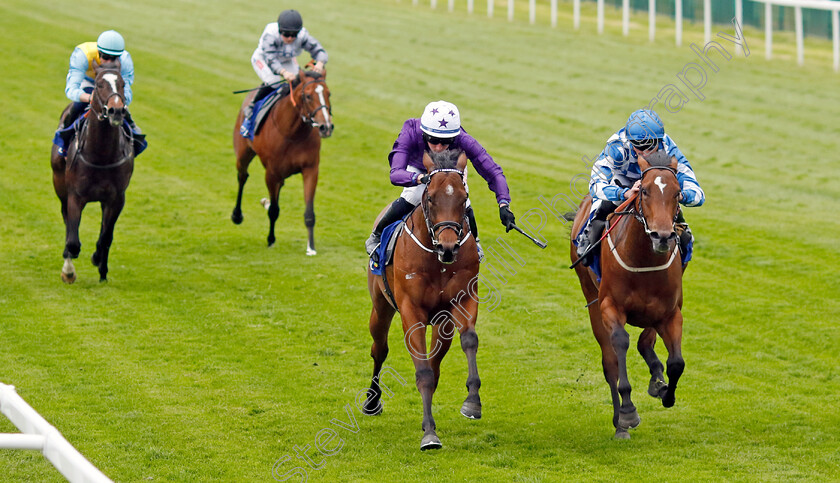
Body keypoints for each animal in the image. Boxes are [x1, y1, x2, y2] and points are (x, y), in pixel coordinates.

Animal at [51, 62, 134, 286]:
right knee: (66, 221)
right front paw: (68, 272)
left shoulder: (116, 199)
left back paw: (103, 271)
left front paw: (98, 261)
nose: (116, 110)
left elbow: (105, 237)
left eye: (122, 84)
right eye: (98, 84)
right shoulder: (75, 196)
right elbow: (72, 240)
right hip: (59, 184)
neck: (101, 155)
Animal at [233, 70, 334, 258]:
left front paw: (311, 247)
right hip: (243, 153)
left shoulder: (310, 170)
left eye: (328, 94)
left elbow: (309, 212)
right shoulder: (271, 173)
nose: (326, 127)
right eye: (308, 96)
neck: (292, 133)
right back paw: (237, 215)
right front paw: (271, 239)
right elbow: (274, 210)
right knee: (242, 176)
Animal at [360, 150, 480, 450]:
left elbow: (468, 341)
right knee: (380, 349)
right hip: (380, 307)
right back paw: (371, 402)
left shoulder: (462, 301)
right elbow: (423, 371)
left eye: (463, 198)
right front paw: (429, 434)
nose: (448, 247)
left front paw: (472, 402)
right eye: (431, 198)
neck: (437, 261)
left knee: (436, 361)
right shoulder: (411, 312)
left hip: (441, 323)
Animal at [568, 151, 684, 438]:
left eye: (677, 193)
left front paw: (666, 392)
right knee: (609, 362)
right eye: (644, 191)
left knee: (647, 343)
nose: (662, 236)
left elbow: (676, 362)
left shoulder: (670, 313)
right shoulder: (610, 306)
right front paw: (628, 411)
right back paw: (619, 422)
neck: (643, 260)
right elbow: (620, 345)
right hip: (591, 299)